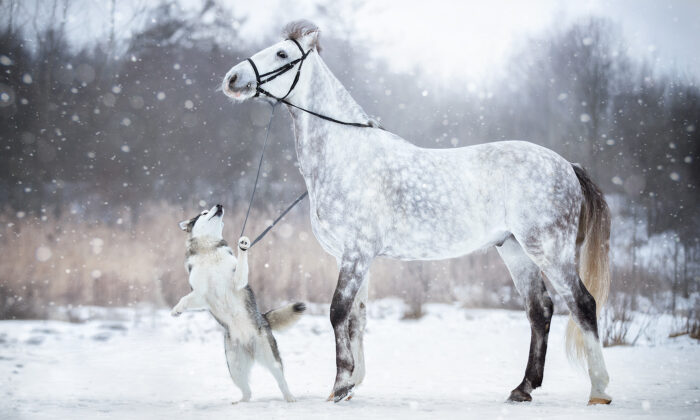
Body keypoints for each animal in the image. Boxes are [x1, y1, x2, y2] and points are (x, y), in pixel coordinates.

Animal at [171, 204, 304, 404]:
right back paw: (240, 402)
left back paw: (289, 397)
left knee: (281, 381)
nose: (219, 205)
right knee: (247, 391)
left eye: (209, 208)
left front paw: (243, 245)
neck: (209, 251)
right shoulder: (201, 295)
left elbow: (241, 265)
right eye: (204, 212)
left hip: (270, 357)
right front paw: (177, 310)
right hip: (234, 368)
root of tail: (263, 318)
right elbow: (185, 299)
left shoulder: (236, 282)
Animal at [223, 20, 612, 406]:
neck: (346, 154)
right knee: (540, 310)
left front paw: (341, 384)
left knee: (582, 304)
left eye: (282, 54)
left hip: (549, 250)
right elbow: (356, 318)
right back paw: (523, 388)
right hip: (516, 250)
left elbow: (337, 312)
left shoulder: (356, 253)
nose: (232, 78)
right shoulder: (350, 257)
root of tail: (567, 165)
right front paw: (350, 385)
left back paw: (599, 391)